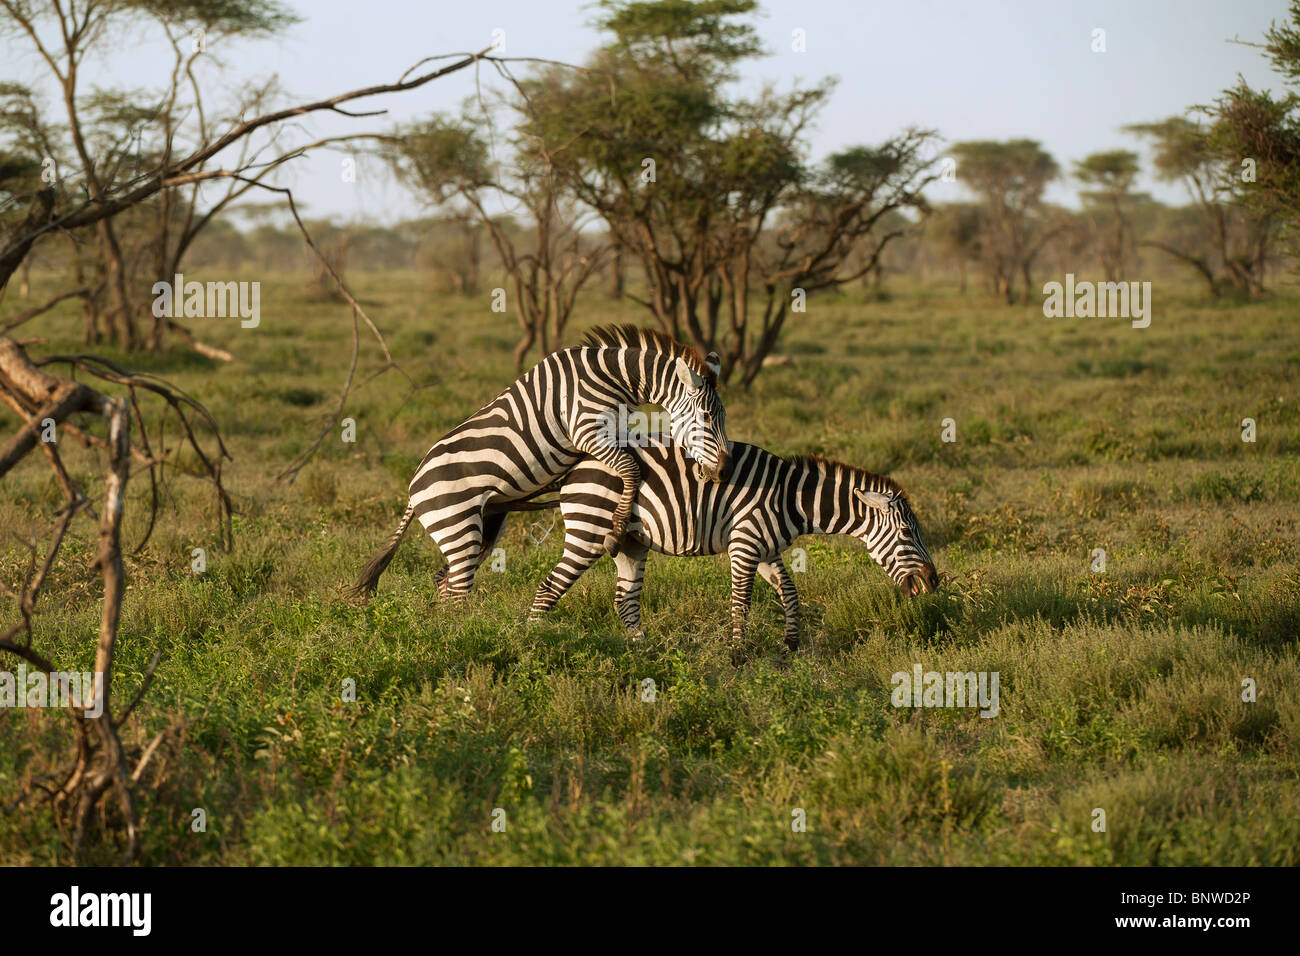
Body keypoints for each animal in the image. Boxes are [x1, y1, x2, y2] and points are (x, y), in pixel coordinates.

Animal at [351, 327, 738, 598]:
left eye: (723, 416)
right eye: (706, 417)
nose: (724, 471)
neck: (612, 379)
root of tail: (413, 490)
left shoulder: (612, 433)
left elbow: (632, 465)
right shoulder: (587, 432)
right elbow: (632, 469)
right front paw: (614, 532)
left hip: (484, 526)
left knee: (446, 582)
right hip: (456, 524)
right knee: (456, 588)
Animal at [522, 434, 941, 655]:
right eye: (908, 534)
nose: (934, 581)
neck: (791, 498)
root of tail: (576, 466)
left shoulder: (768, 550)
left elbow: (790, 592)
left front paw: (790, 645)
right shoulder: (745, 544)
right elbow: (742, 600)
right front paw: (738, 655)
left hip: (629, 542)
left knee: (624, 600)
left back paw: (644, 651)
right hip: (590, 530)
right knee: (548, 589)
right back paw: (533, 644)